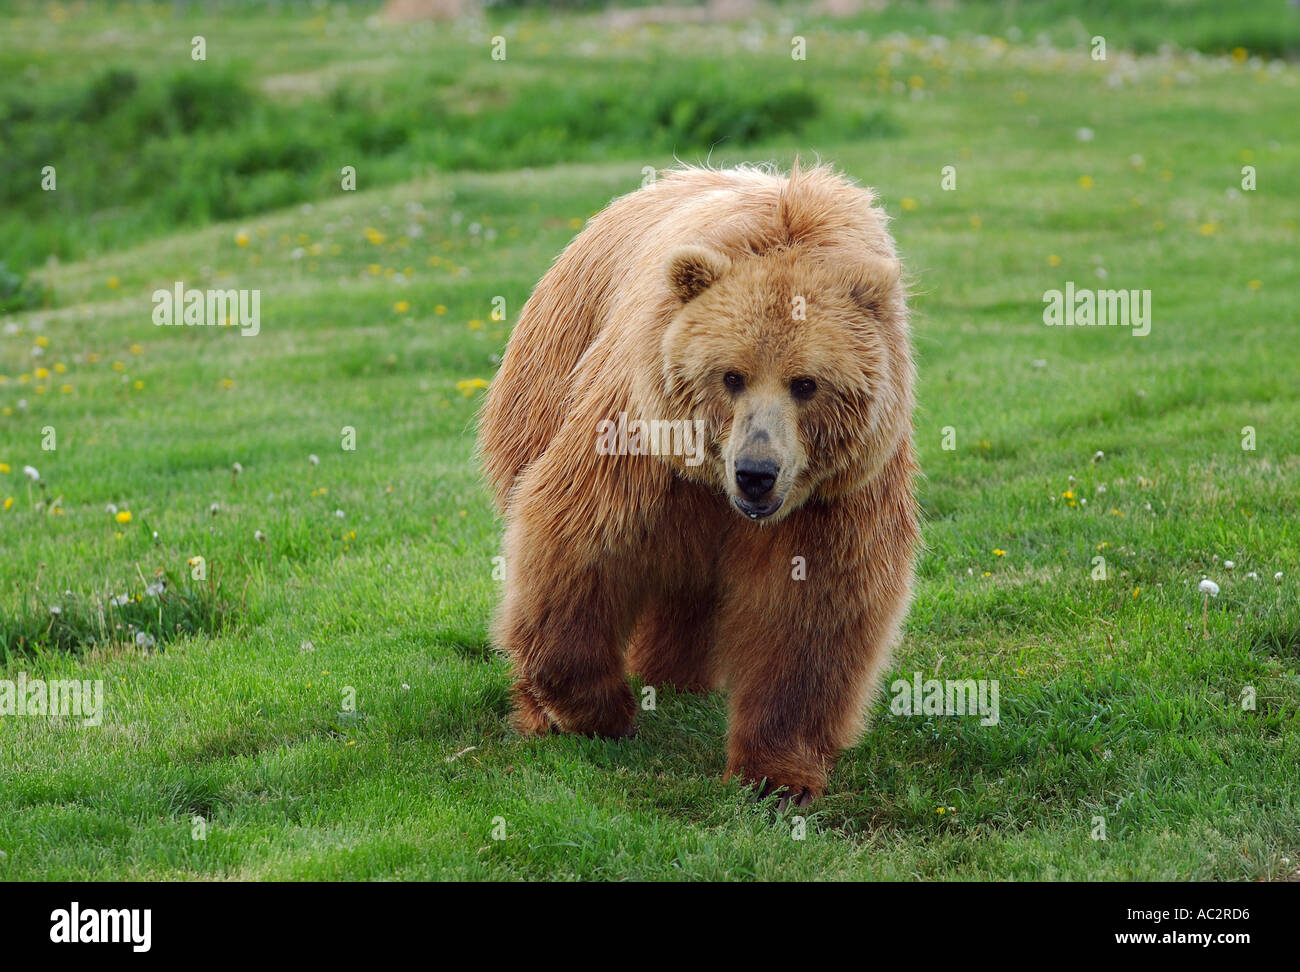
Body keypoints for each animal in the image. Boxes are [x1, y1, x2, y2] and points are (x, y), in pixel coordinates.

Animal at [483, 161, 920, 805]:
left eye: (806, 383)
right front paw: (596, 711)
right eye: (731, 375)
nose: (756, 473)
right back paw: (542, 712)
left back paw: (676, 675)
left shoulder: (838, 490)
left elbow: (813, 605)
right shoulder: (643, 437)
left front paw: (778, 773)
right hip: (547, 377)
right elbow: (577, 540)